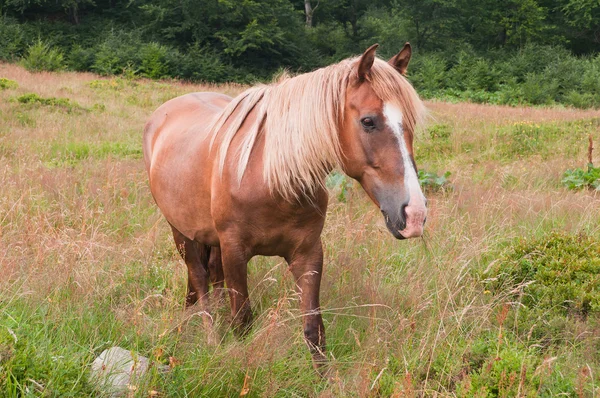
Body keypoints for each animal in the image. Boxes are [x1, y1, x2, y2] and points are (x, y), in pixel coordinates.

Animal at [143, 43, 428, 370]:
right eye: (368, 121)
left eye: (411, 123)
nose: (415, 214)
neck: (269, 175)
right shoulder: (235, 252)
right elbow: (243, 322)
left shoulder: (308, 253)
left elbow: (313, 328)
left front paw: (324, 376)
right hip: (181, 231)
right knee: (200, 279)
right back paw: (211, 335)